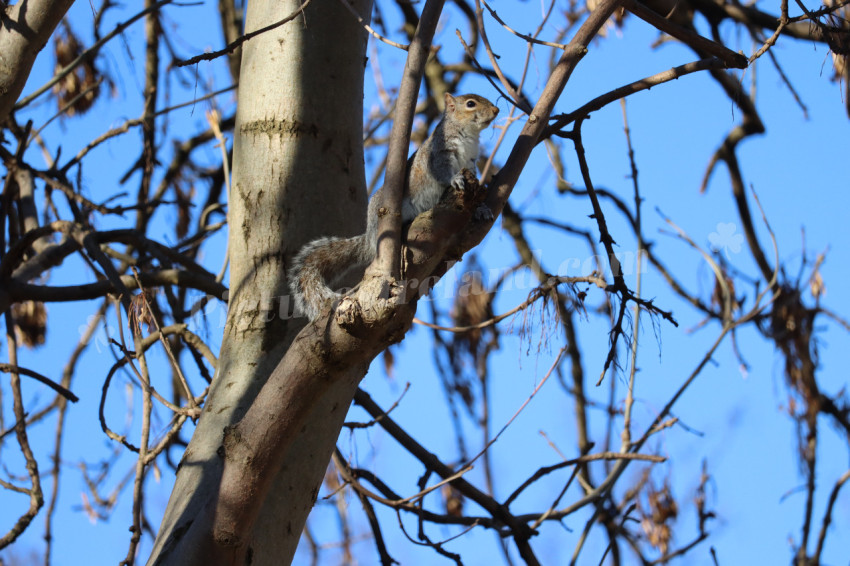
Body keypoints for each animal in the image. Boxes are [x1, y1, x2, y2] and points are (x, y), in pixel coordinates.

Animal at [289, 92, 499, 321]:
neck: (468, 136)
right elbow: (441, 172)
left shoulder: (470, 163)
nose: (496, 110)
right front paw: (455, 179)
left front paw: (481, 208)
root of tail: (369, 237)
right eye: (470, 104)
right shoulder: (438, 154)